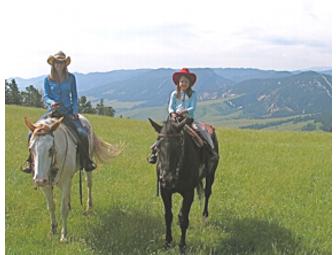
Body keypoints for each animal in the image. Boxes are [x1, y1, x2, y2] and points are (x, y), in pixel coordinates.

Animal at [149, 117, 218, 253]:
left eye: (179, 145)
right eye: (158, 146)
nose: (167, 179)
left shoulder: (188, 193)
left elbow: (183, 218)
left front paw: (182, 246)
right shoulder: (165, 191)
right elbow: (168, 216)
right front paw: (167, 243)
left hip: (211, 175)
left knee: (207, 193)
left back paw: (204, 216)